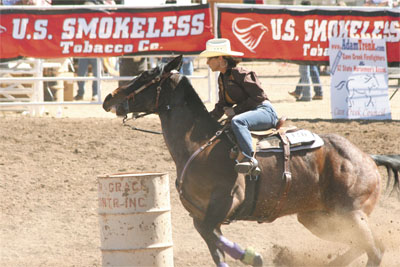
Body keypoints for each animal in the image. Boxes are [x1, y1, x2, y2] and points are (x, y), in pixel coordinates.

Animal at [103, 55, 384, 266]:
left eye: (145, 76)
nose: (108, 98)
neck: (200, 146)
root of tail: (367, 158)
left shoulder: (224, 203)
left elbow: (210, 234)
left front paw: (253, 256)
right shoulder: (201, 214)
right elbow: (213, 244)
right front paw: (250, 256)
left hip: (349, 214)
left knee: (374, 251)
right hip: (319, 219)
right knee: (362, 247)